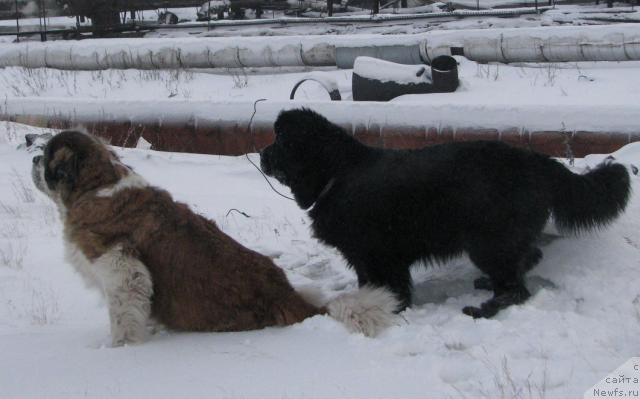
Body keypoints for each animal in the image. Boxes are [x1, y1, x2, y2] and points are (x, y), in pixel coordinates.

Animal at [31, 131, 400, 346]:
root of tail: (289, 298)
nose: (33, 158)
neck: (96, 185)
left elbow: (122, 314)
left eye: (47, 157)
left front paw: (118, 348)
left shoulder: (121, 269)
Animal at [260, 108, 632, 318]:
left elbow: (390, 287)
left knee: (517, 289)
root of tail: (538, 161)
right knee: (527, 260)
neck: (338, 173)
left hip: (488, 241)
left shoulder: (378, 255)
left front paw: (391, 308)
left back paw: (483, 309)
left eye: (280, 141)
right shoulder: (367, 257)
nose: (262, 154)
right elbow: (371, 284)